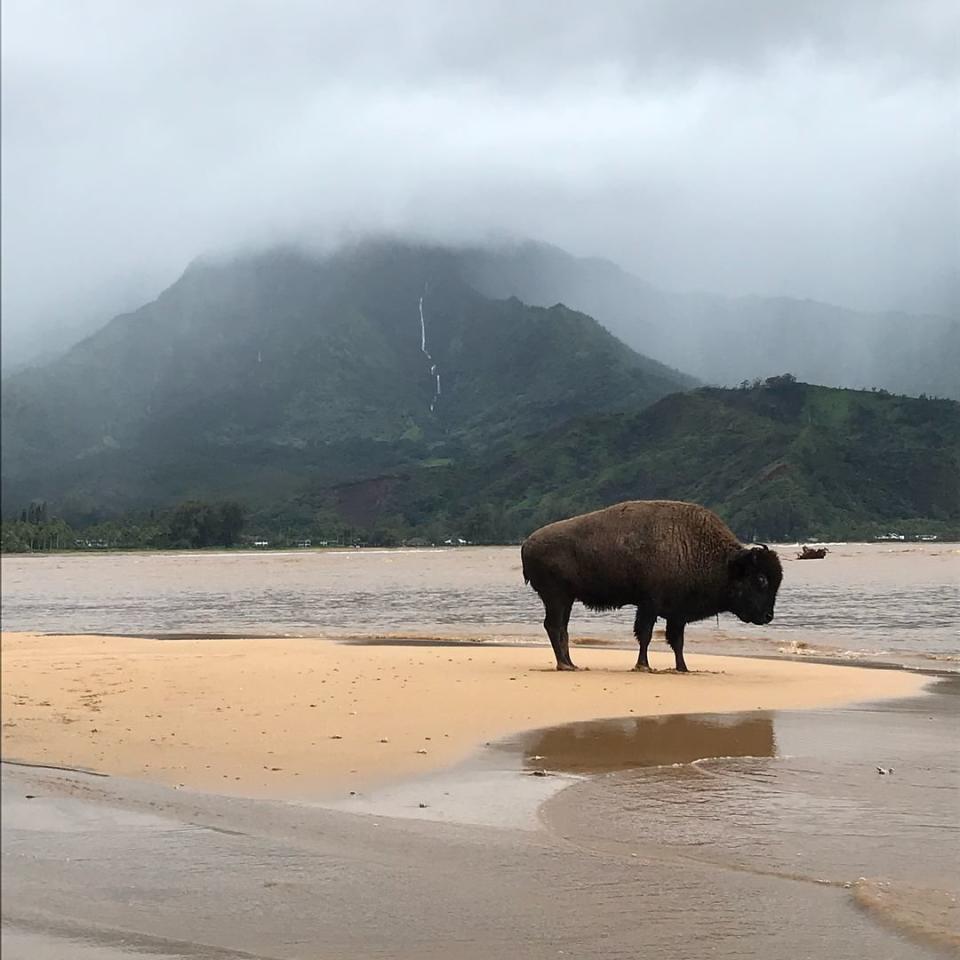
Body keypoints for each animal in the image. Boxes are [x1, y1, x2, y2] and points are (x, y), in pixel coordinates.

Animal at [520, 498, 784, 672]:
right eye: (761, 579)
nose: (768, 616)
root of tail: (526, 544)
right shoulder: (649, 606)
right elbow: (645, 635)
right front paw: (643, 666)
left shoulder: (677, 614)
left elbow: (677, 641)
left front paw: (683, 668)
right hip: (556, 597)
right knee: (554, 626)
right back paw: (564, 665)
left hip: (566, 599)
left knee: (561, 629)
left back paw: (571, 664)